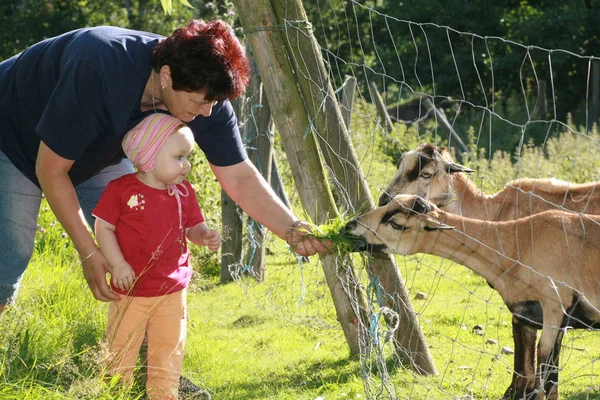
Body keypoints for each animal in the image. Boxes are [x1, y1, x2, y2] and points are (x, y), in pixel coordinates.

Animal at [342, 195, 600, 400]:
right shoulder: (524, 315)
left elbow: (547, 376)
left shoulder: (555, 307)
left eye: (396, 223)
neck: (515, 245)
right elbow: (521, 377)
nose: (347, 228)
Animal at [378, 143, 600, 396]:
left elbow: (526, 353)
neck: (494, 214)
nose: (383, 201)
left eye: (426, 173)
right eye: (400, 165)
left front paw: (518, 392)